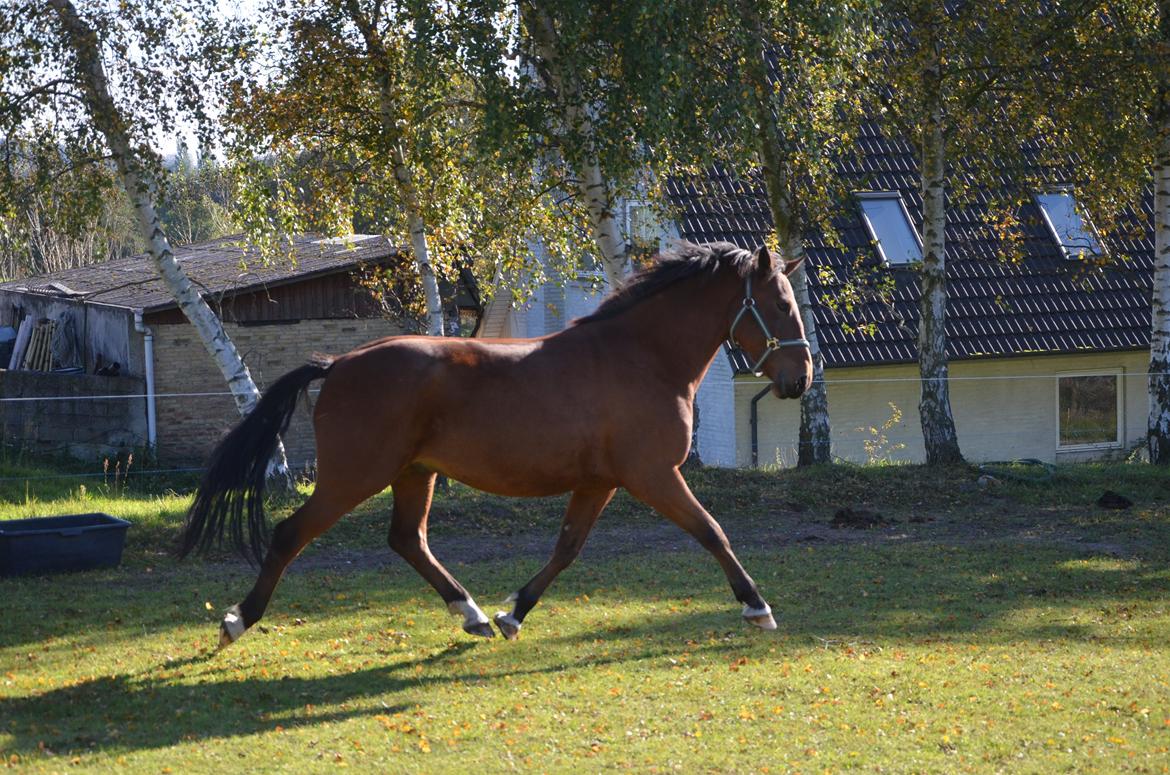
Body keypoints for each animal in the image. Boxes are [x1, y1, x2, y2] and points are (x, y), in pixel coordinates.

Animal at [180, 243, 814, 650]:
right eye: (781, 304)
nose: (801, 378)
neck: (643, 357)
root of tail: (337, 364)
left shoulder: (600, 482)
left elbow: (566, 549)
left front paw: (514, 614)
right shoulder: (652, 474)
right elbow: (712, 531)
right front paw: (757, 607)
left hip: (414, 473)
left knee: (407, 540)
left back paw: (475, 616)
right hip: (354, 476)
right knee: (291, 534)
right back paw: (236, 622)